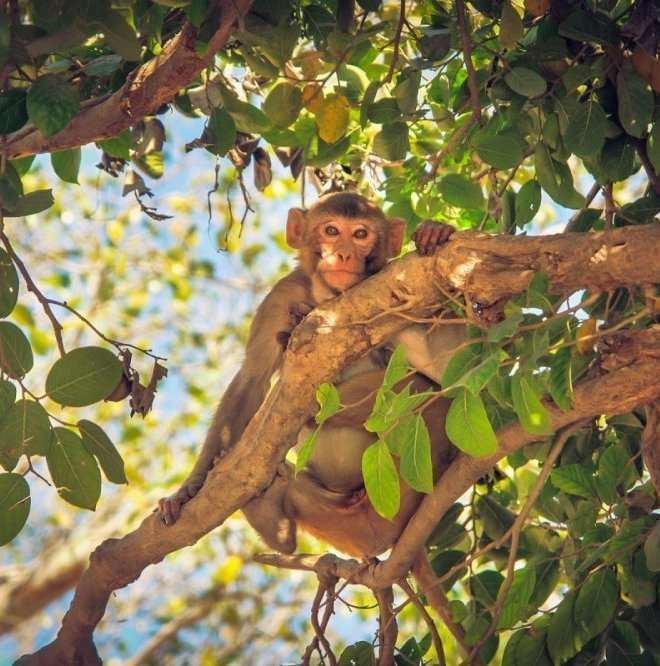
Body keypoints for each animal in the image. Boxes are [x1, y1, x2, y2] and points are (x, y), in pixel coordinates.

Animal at [158, 192, 464, 558]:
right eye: (331, 230)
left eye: (360, 234)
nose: (342, 253)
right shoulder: (283, 295)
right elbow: (252, 378)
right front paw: (188, 489)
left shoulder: (394, 286)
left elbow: (446, 370)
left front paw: (436, 232)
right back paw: (272, 521)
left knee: (427, 391)